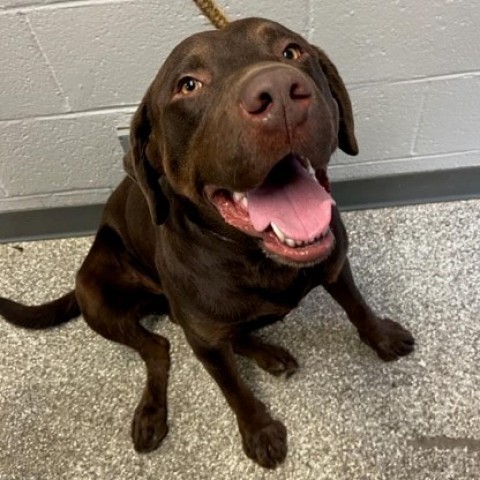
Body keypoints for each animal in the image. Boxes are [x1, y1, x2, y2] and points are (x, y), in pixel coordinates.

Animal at [0, 17, 412, 468]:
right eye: (188, 85)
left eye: (291, 51)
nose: (279, 92)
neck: (253, 255)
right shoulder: (207, 344)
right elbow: (234, 391)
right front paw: (259, 431)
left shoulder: (334, 262)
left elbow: (358, 306)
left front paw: (383, 337)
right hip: (95, 295)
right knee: (160, 346)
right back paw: (152, 412)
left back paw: (268, 354)